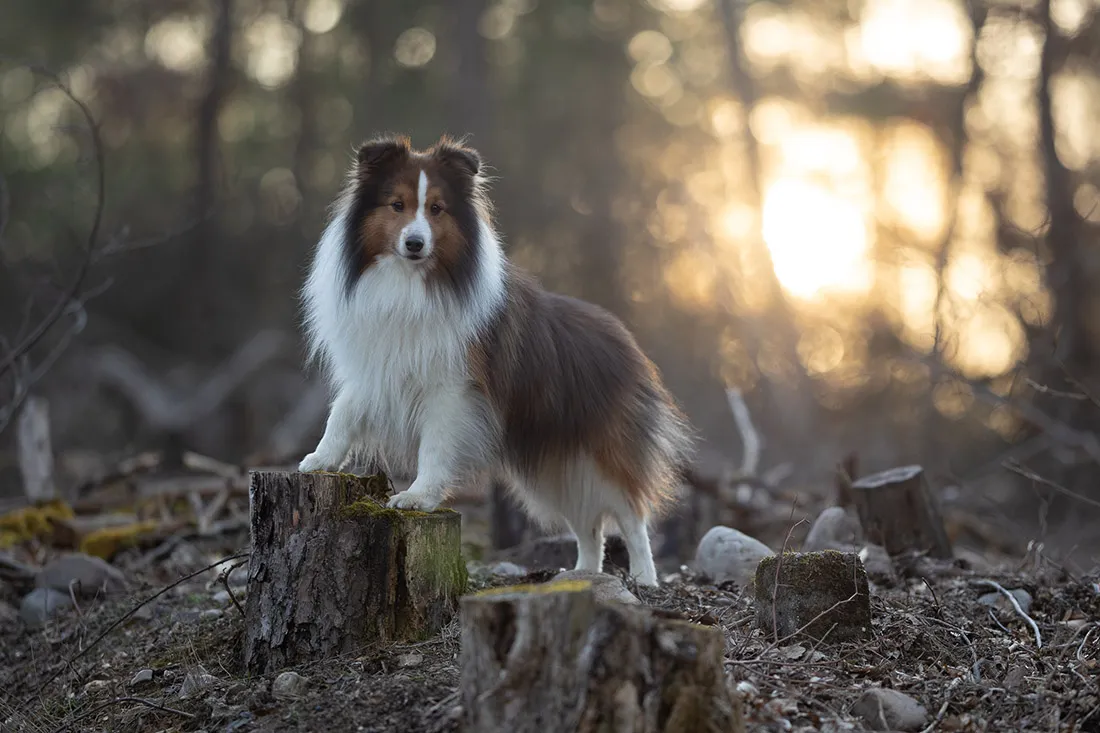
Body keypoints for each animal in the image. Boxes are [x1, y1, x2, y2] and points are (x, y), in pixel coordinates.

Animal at [297, 135, 690, 581]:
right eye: (396, 205)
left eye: (437, 208)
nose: (415, 243)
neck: (413, 284)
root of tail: (629, 342)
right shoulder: (377, 369)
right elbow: (342, 412)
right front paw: (319, 459)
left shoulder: (453, 392)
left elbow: (434, 447)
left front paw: (418, 497)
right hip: (558, 464)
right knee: (588, 524)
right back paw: (582, 576)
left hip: (603, 450)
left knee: (631, 514)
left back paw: (643, 578)